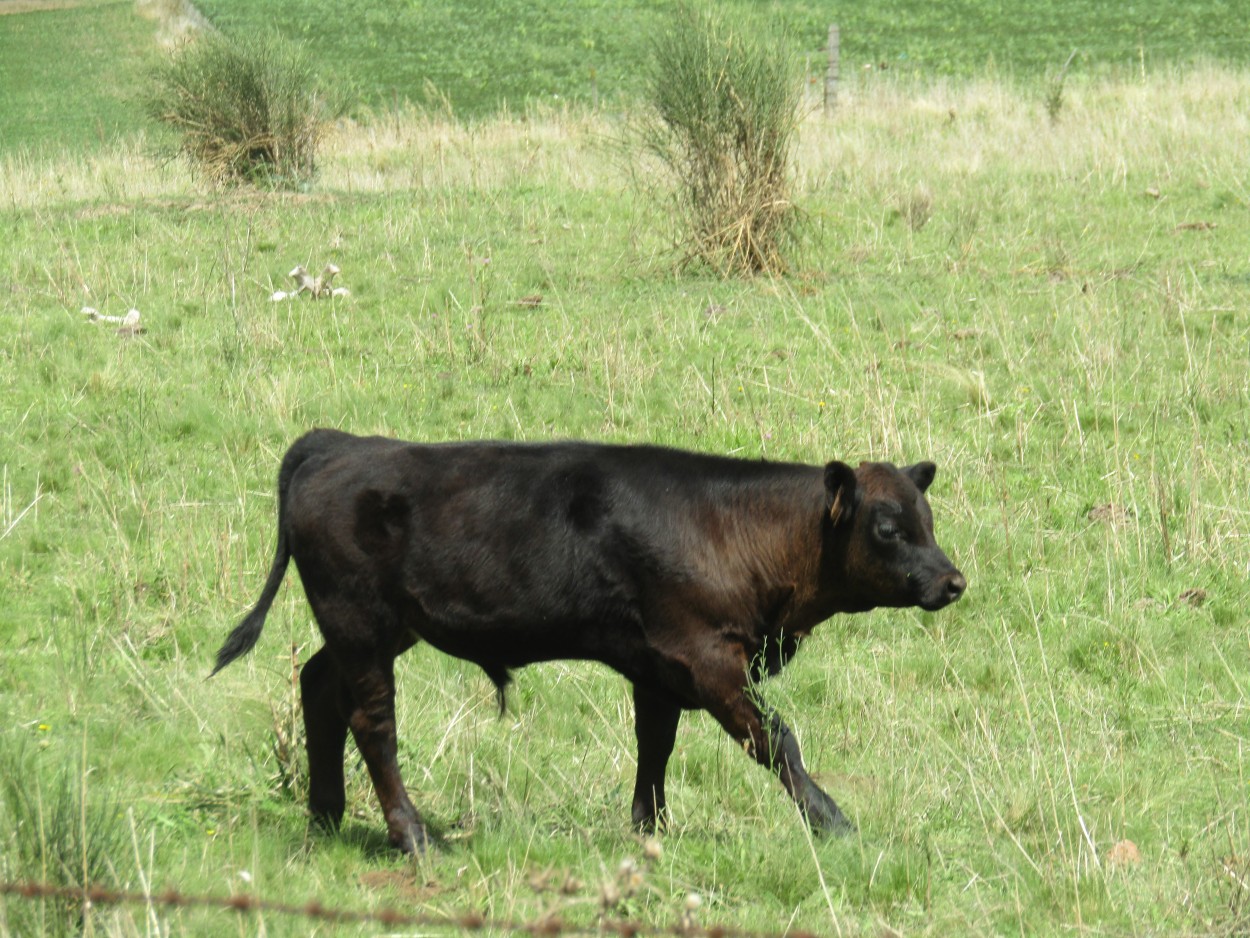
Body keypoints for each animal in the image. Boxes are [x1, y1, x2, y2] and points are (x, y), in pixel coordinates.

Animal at [212, 430, 965, 855]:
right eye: (888, 528)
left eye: (928, 519)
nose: (952, 580)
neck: (734, 531)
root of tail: (339, 444)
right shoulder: (710, 660)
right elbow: (777, 741)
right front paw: (832, 822)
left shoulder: (660, 669)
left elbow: (655, 747)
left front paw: (649, 829)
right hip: (360, 624)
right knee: (373, 724)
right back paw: (413, 837)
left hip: (378, 629)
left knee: (317, 688)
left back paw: (326, 817)